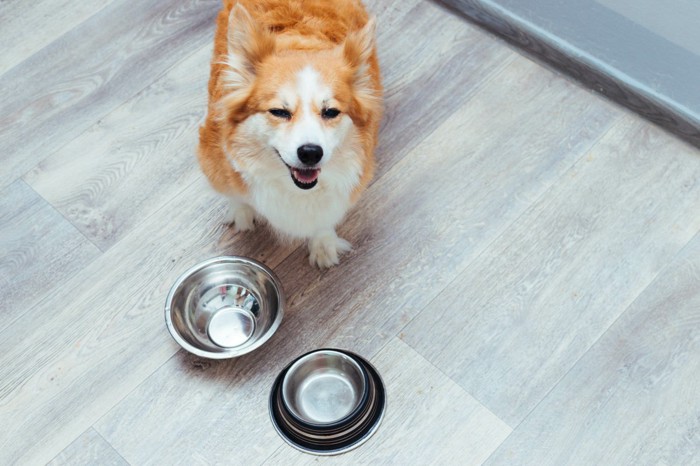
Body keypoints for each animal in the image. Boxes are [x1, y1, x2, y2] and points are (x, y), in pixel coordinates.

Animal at [197, 0, 382, 268]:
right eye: (279, 112)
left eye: (331, 112)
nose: (311, 153)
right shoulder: (213, 162)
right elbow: (235, 195)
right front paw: (242, 213)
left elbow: (326, 216)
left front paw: (323, 244)